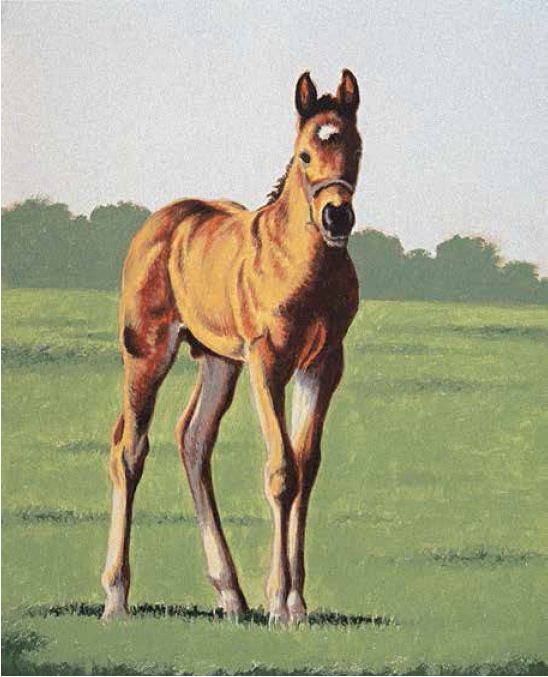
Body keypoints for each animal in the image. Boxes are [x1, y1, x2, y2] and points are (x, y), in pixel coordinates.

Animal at [101, 69, 362, 625]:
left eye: (354, 147)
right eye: (304, 154)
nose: (337, 218)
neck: (302, 262)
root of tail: (160, 223)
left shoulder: (323, 364)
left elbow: (307, 466)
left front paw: (298, 603)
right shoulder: (269, 361)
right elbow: (281, 469)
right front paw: (280, 603)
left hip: (219, 362)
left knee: (194, 440)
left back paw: (231, 595)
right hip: (148, 351)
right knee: (130, 450)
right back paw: (116, 597)